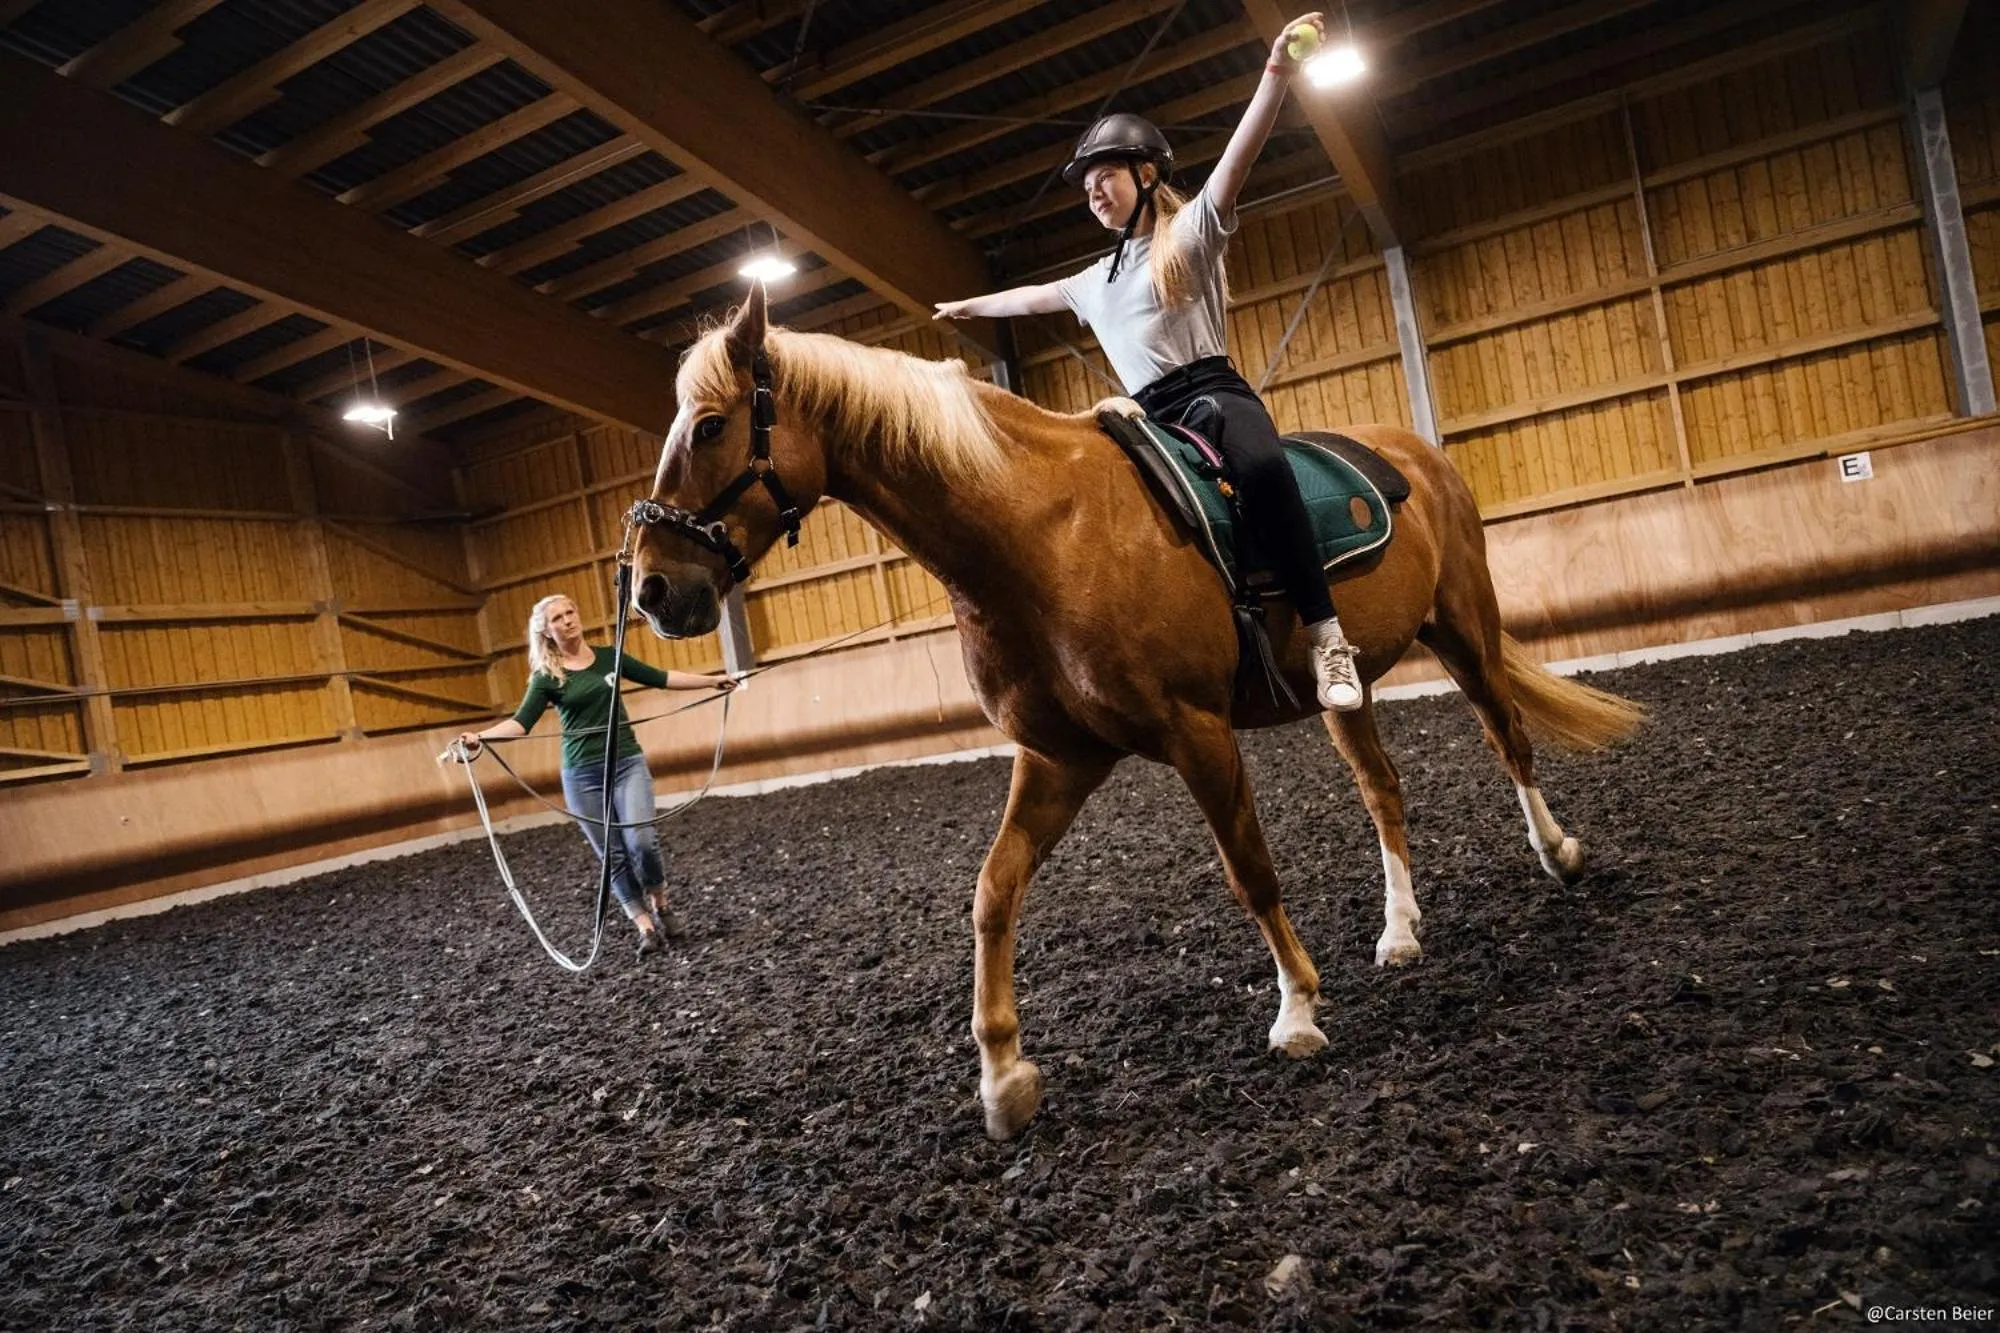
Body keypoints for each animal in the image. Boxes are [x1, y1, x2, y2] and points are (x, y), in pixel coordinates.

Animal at [629, 284, 1643, 1141]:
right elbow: (992, 894)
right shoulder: (1058, 757)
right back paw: (1399, 930)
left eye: (710, 426)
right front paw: (1004, 1076)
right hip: (1344, 691)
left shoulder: (1197, 733)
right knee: (1383, 788)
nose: (652, 590)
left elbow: (1250, 873)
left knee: (1508, 738)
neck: (1041, 532)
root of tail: (1413, 450)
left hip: (1466, 628)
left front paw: (1298, 1009)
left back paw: (1558, 852)